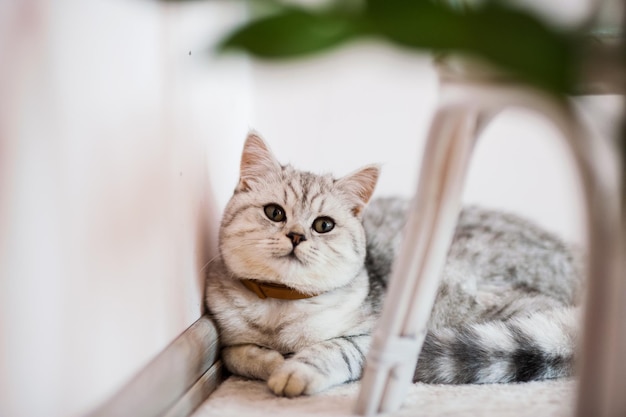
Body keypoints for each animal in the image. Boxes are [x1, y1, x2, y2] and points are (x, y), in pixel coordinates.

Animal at [205, 132, 580, 396]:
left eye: (323, 225)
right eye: (274, 213)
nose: (296, 236)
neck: (281, 307)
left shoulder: (373, 335)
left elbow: (336, 347)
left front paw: (295, 370)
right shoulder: (227, 334)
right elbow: (235, 354)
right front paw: (269, 361)